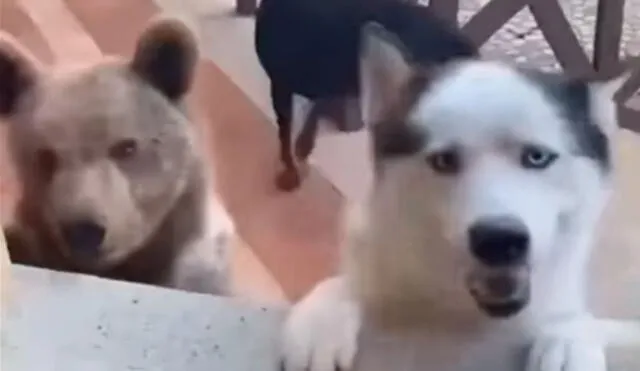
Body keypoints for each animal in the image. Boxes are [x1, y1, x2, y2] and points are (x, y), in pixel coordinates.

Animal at [282, 22, 640, 371]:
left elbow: (588, 322)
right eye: (444, 160)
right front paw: (324, 319)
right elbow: (348, 284)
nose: (499, 240)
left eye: (537, 157)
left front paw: (569, 337)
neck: (460, 318)